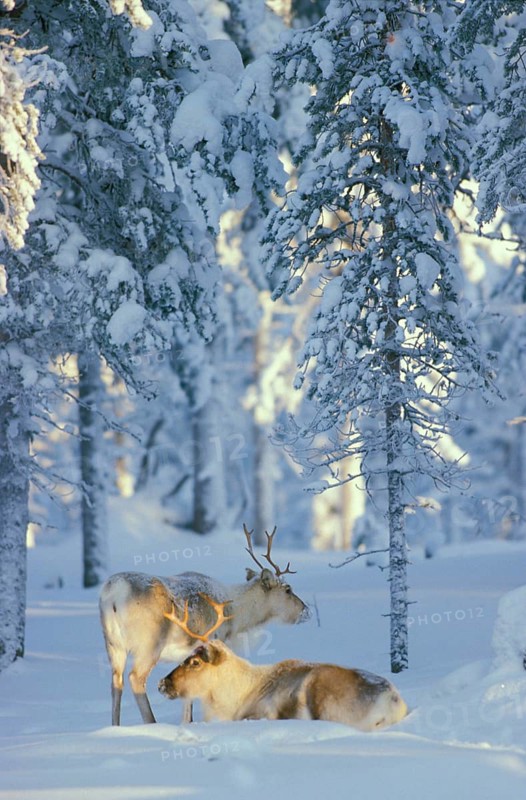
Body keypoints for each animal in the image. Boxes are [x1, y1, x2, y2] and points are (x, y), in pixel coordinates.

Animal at [99, 524, 310, 725]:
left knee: (115, 682)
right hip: (149, 643)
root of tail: (114, 593)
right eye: (288, 589)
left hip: (112, 644)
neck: (237, 619)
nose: (306, 610)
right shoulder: (213, 640)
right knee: (135, 678)